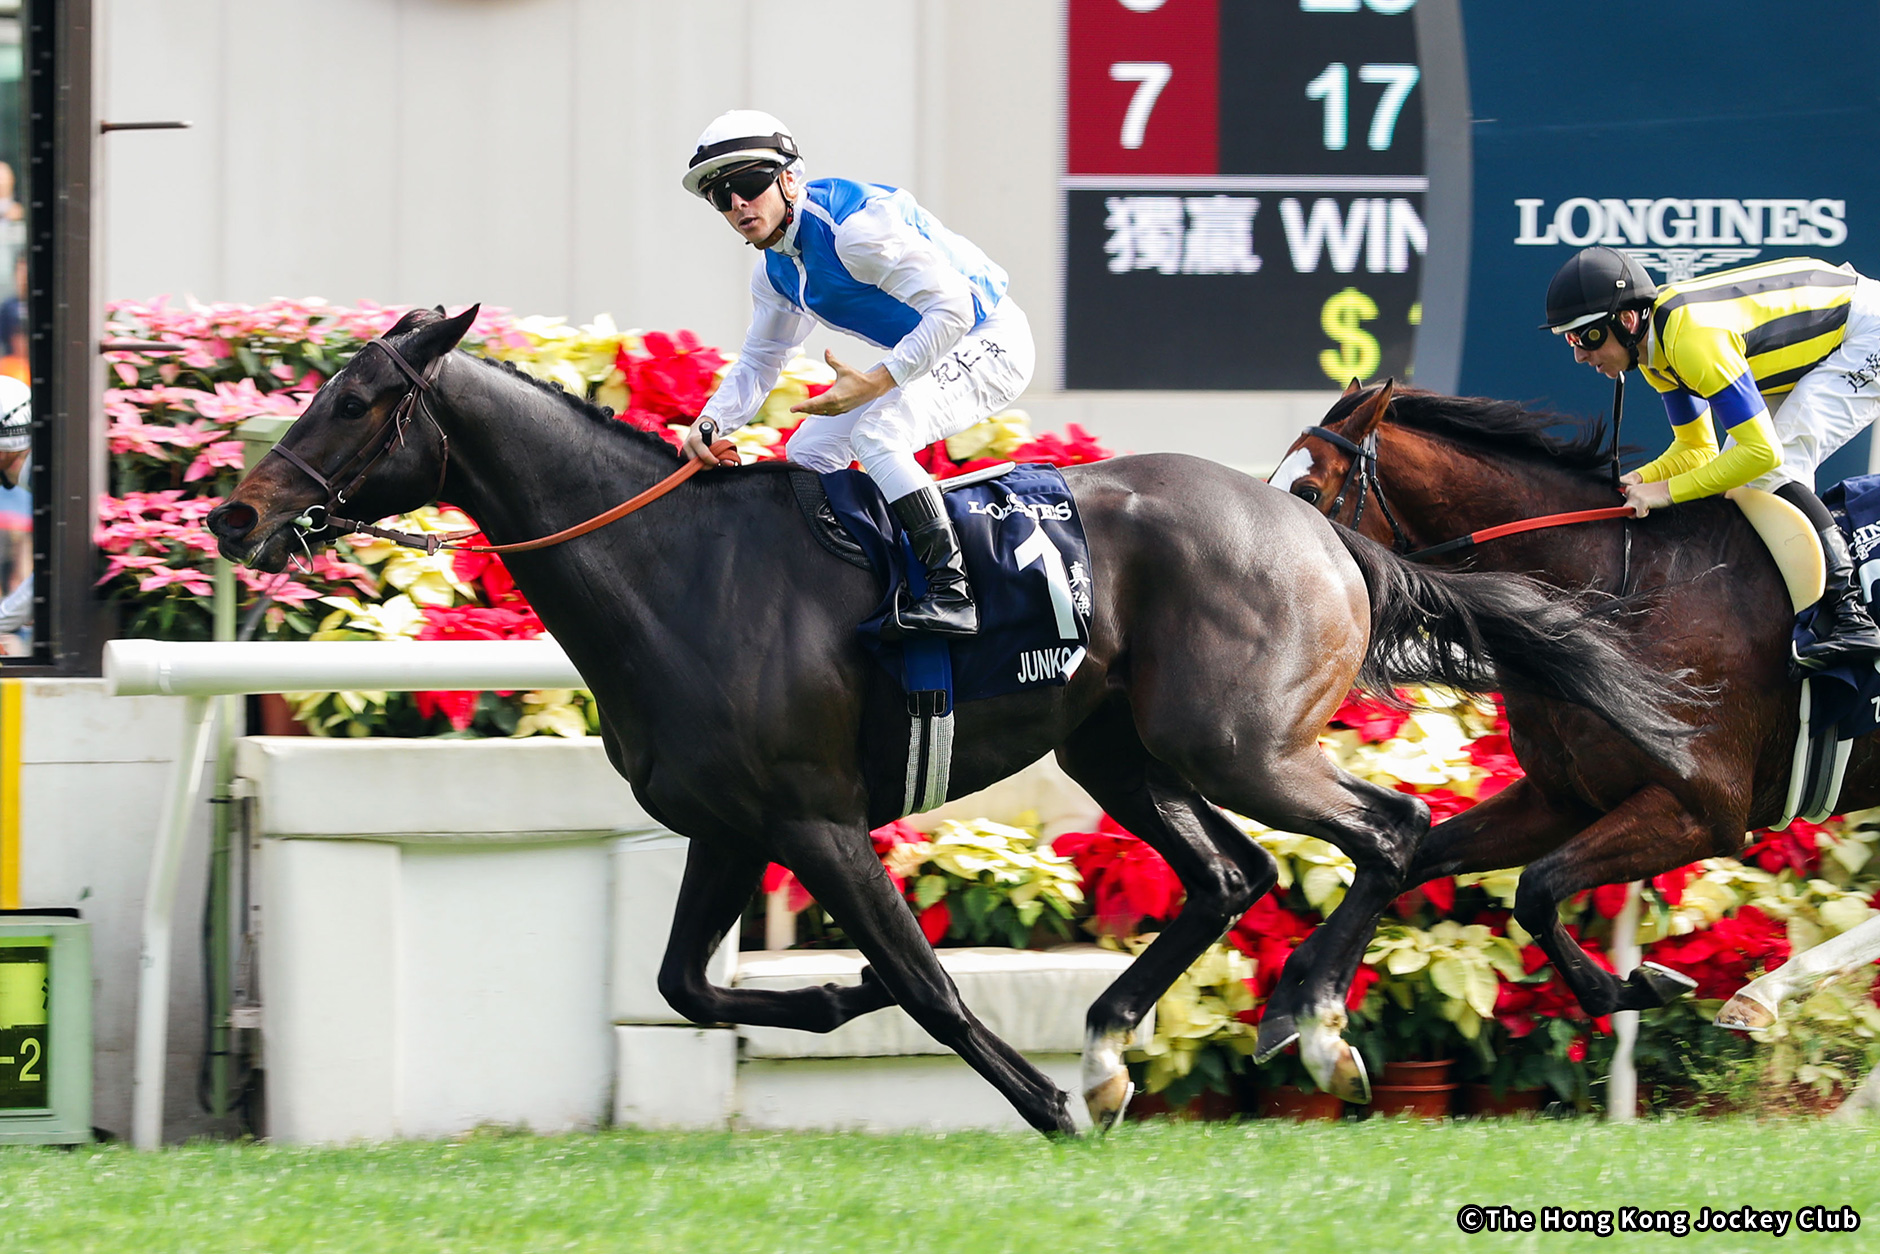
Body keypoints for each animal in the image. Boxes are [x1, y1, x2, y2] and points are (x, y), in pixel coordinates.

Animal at [205, 312, 1692, 1128]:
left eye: (357, 399)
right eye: (319, 388)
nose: (235, 511)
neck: (673, 569)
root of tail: (1324, 527)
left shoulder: (811, 817)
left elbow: (923, 982)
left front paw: (1035, 1102)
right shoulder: (727, 825)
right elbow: (684, 985)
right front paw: (846, 993)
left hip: (1235, 740)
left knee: (1383, 831)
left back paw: (1306, 1025)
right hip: (1116, 745)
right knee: (1227, 873)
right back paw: (1111, 1042)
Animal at [1270, 379, 1872, 1037]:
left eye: (1308, 490)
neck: (1622, 592)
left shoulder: (1703, 809)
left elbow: (1535, 889)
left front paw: (1635, 985)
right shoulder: (1561, 798)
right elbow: (1418, 855)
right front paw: (1300, 994)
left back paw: (1761, 994)